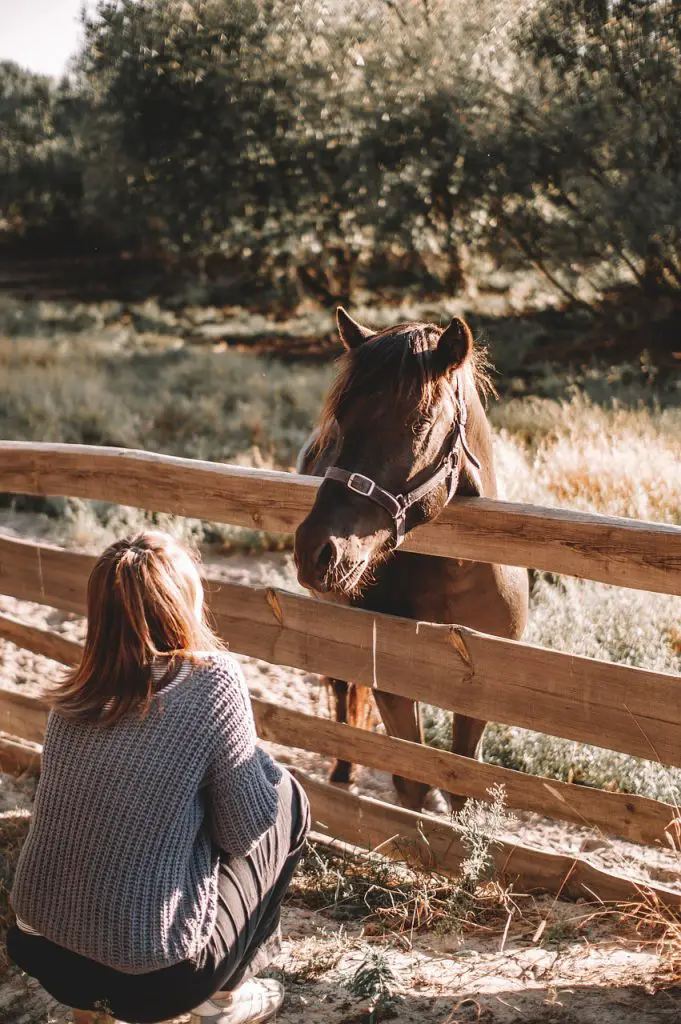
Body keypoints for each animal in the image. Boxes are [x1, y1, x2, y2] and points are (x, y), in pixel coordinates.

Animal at [294, 307, 528, 811]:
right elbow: (412, 781)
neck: (458, 572)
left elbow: (461, 787)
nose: (316, 550)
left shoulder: (482, 688)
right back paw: (343, 769)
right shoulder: (396, 687)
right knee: (340, 689)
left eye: (420, 422)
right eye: (340, 418)